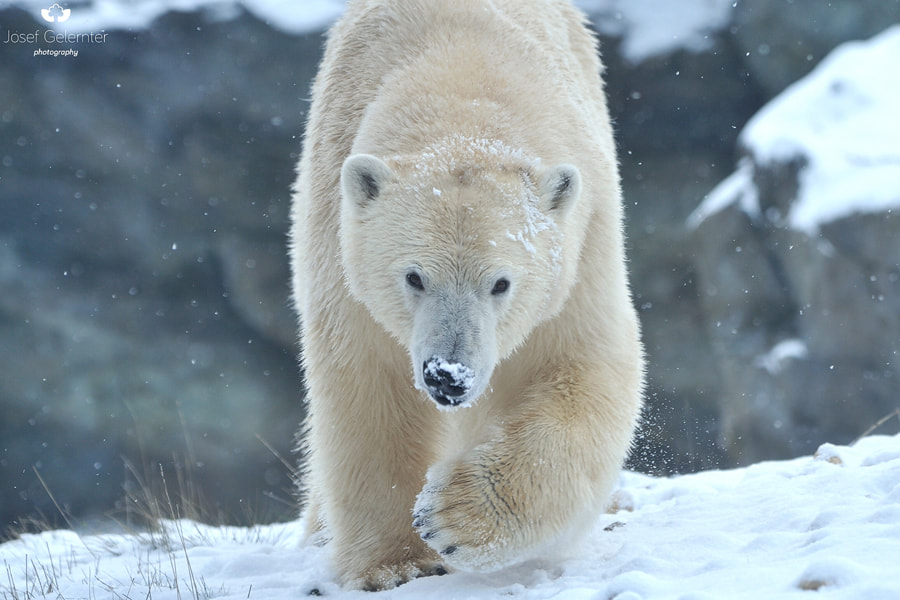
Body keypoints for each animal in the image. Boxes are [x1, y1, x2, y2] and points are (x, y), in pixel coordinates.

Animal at [289, 0, 644, 591]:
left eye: (500, 282)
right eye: (414, 277)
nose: (446, 376)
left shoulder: (580, 243)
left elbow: (581, 364)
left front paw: (454, 516)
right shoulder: (338, 243)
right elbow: (368, 390)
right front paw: (395, 565)